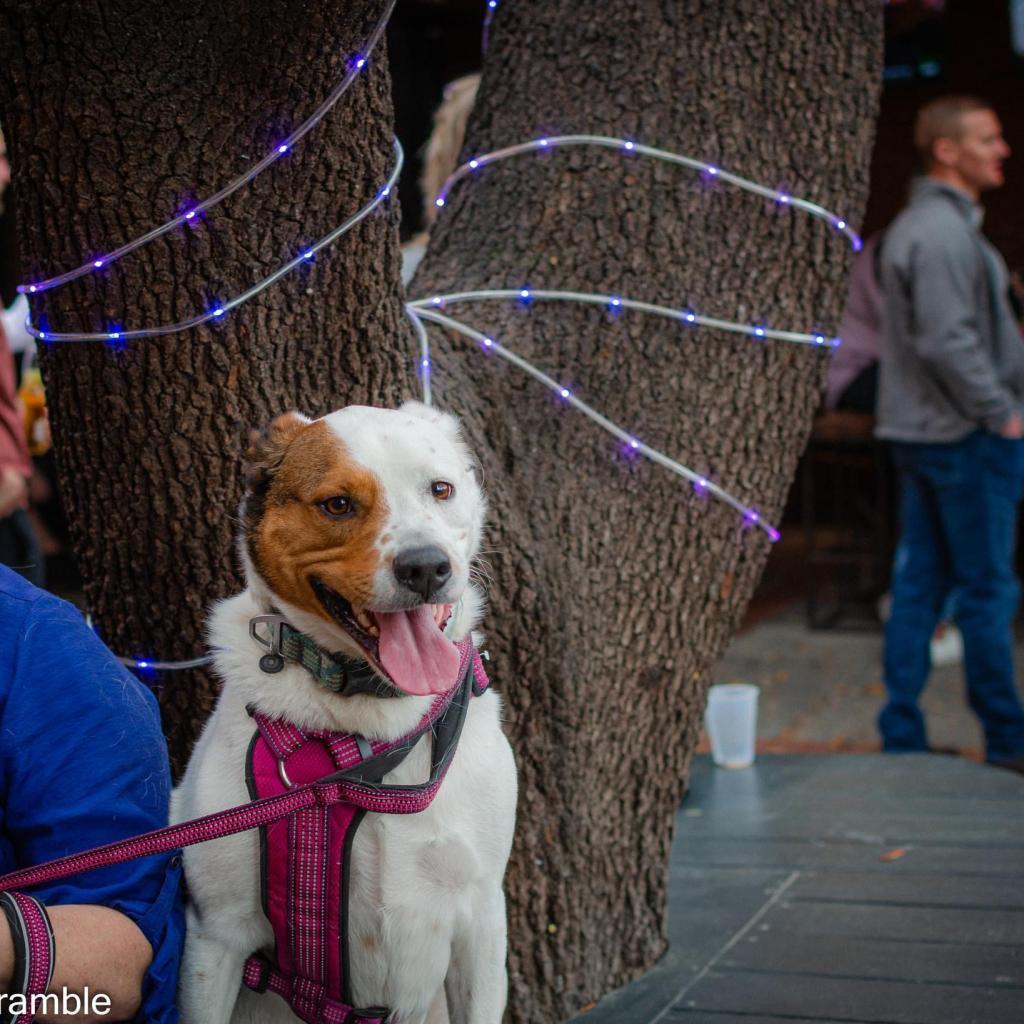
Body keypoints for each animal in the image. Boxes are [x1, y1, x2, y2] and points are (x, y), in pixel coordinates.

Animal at [173, 403, 520, 1024]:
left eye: (441, 489)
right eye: (337, 504)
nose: (426, 567)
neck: (372, 725)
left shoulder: (481, 919)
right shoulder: (216, 934)